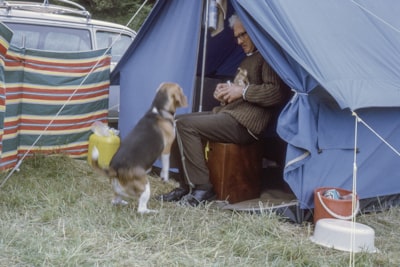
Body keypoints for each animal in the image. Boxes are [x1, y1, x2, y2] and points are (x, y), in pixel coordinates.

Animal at [92, 82, 188, 215]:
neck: (158, 110)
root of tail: (115, 168)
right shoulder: (166, 149)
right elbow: (166, 165)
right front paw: (165, 177)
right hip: (145, 187)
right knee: (141, 209)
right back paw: (151, 211)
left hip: (117, 188)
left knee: (115, 200)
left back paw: (122, 202)